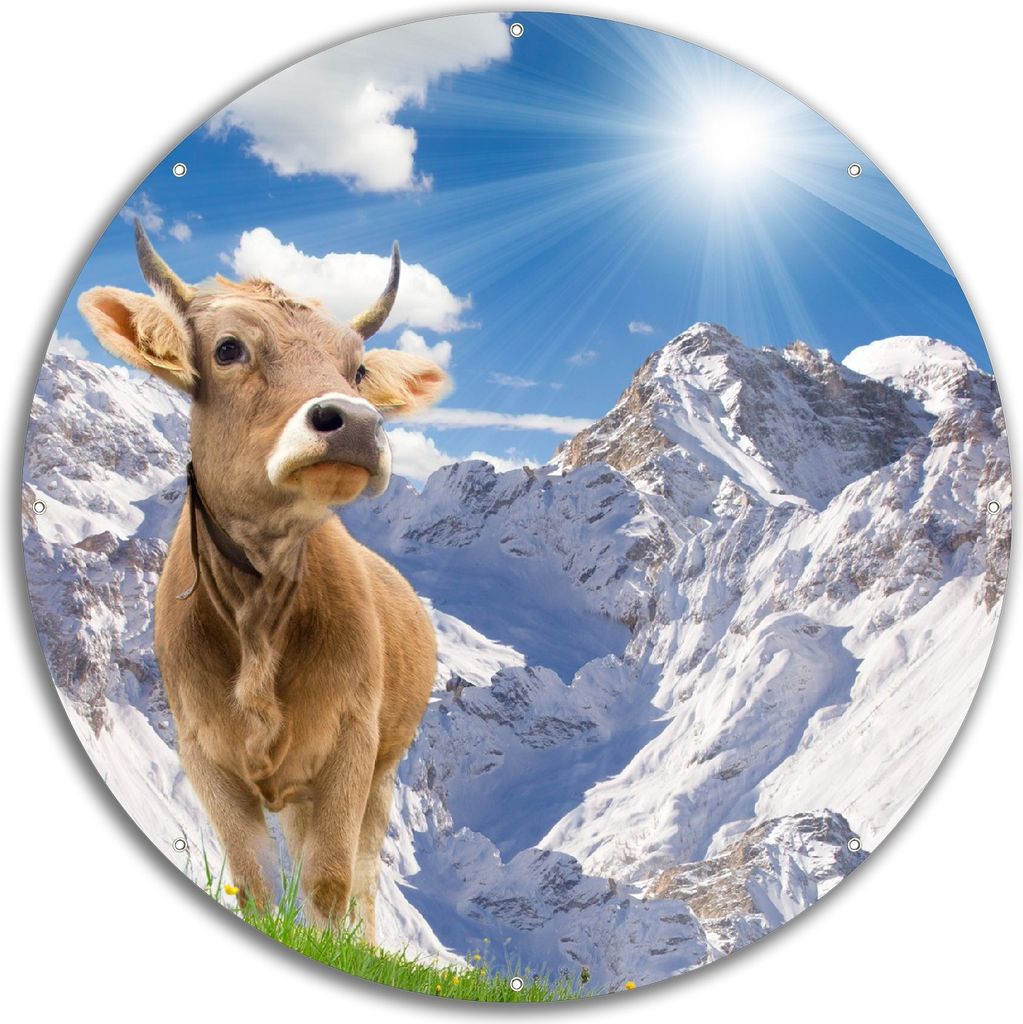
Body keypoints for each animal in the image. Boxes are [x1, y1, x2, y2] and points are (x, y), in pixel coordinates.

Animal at [78, 222, 448, 942]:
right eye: (228, 348)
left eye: (357, 368)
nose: (356, 422)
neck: (258, 614)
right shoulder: (204, 754)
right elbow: (254, 884)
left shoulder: (351, 743)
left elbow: (330, 882)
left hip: (384, 768)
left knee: (363, 874)